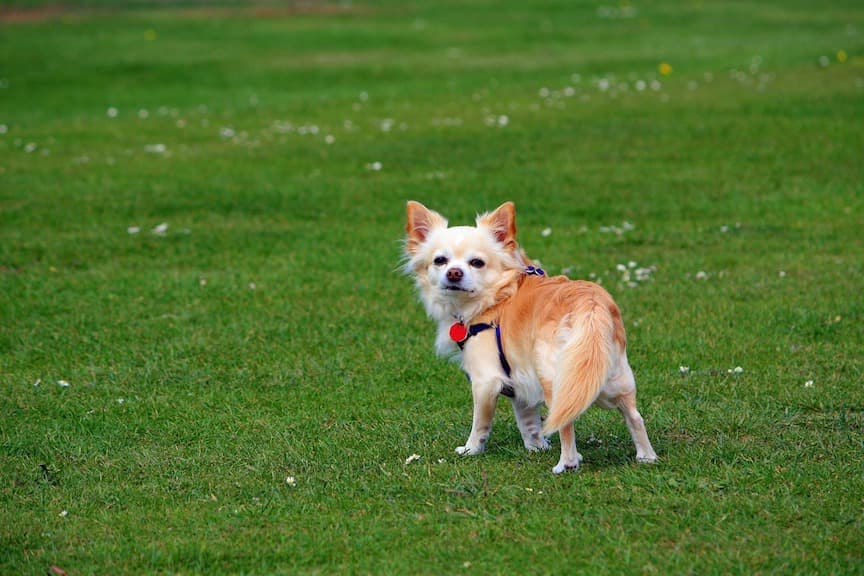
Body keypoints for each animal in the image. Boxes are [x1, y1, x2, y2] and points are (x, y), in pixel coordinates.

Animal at [404, 201, 656, 472]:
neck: (497, 296)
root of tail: (591, 304)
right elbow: (528, 420)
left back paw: (566, 464)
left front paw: (471, 450)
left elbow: (480, 423)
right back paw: (646, 456)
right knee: (634, 416)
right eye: (440, 261)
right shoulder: (518, 378)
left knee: (565, 424)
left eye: (477, 263)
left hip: (554, 381)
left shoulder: (485, 380)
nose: (453, 273)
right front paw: (536, 446)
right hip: (616, 377)